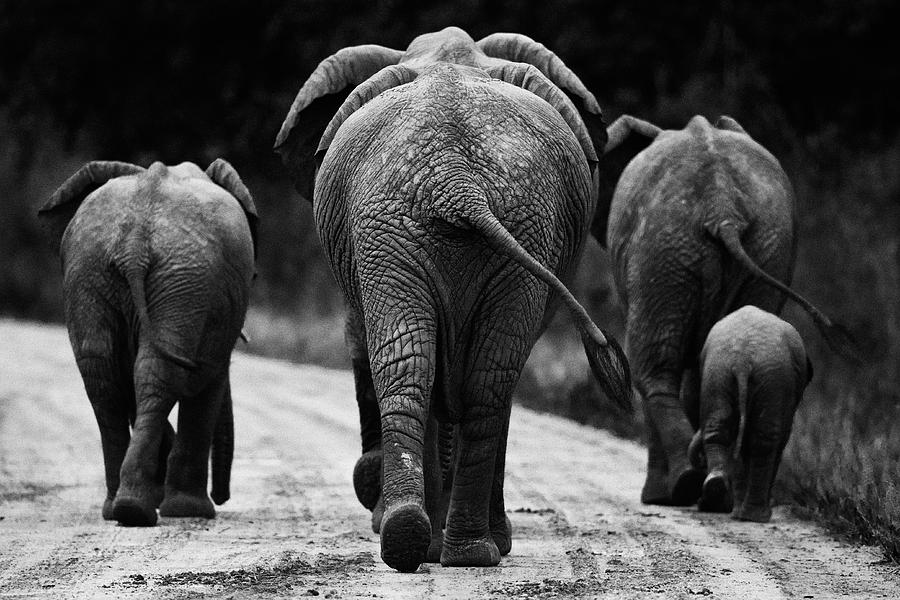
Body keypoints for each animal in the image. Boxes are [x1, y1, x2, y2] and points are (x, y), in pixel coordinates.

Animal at [38, 158, 256, 524]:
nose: (222, 497)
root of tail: (135, 241)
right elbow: (208, 379)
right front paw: (188, 511)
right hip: (176, 276)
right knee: (155, 373)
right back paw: (148, 509)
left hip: (102, 273)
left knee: (108, 377)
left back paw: (124, 508)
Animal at [278, 27, 628, 572]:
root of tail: (457, 181)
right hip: (417, 226)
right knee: (474, 377)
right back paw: (456, 549)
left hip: (445, 226)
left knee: (425, 368)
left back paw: (432, 545)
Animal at [688, 304, 816, 520]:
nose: (698, 462)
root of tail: (743, 359)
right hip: (772, 377)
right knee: (764, 439)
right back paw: (755, 516)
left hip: (719, 371)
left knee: (720, 430)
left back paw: (724, 495)